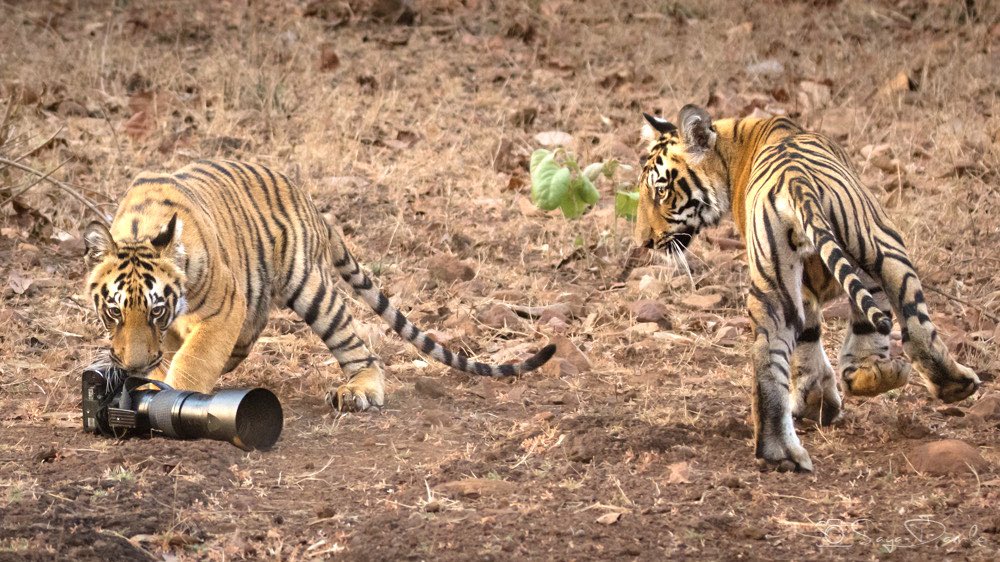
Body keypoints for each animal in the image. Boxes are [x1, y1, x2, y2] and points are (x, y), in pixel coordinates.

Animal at [83, 160, 555, 411]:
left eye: (157, 310)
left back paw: (359, 391)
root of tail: (310, 202)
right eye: (114, 311)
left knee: (360, 348)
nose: (134, 365)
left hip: (310, 288)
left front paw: (168, 395)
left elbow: (194, 360)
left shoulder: (222, 308)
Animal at [634, 104, 981, 472]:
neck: (734, 148)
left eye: (660, 192)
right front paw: (845, 388)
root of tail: (796, 183)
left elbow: (815, 339)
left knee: (769, 356)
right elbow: (850, 330)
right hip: (885, 240)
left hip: (785, 278)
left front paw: (841, 389)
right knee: (916, 325)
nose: (643, 242)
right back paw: (955, 384)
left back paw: (780, 454)